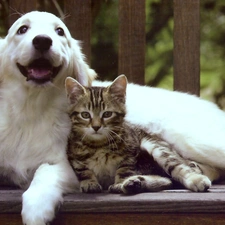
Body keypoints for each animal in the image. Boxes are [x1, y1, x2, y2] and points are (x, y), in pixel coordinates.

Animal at [64, 75, 211, 193]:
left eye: (107, 114)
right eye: (85, 115)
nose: (96, 127)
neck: (98, 145)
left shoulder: (131, 150)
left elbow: (124, 168)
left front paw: (119, 183)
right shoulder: (73, 155)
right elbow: (83, 170)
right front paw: (89, 182)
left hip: (154, 145)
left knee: (176, 167)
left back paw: (196, 179)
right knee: (167, 180)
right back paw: (135, 183)